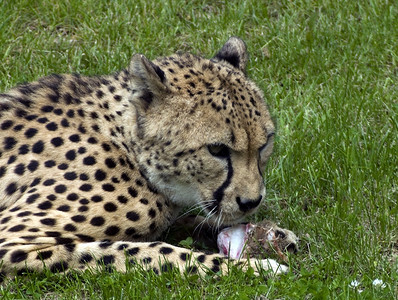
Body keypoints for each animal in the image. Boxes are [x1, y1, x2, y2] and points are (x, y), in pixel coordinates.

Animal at [0, 37, 294, 278]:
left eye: (265, 143)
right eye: (217, 150)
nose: (251, 202)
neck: (125, 142)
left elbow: (186, 223)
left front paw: (275, 235)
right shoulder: (13, 241)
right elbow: (149, 250)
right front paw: (254, 267)